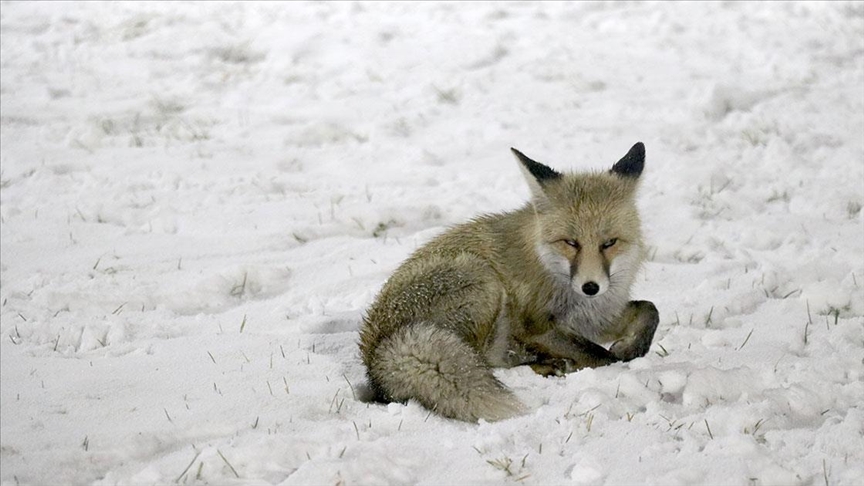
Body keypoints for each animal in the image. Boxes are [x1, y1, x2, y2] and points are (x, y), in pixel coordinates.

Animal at [362, 143, 660, 422]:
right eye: (570, 243)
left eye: (609, 243)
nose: (590, 287)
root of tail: (375, 355)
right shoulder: (536, 327)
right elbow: (602, 355)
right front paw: (610, 358)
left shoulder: (596, 317)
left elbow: (649, 309)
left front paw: (632, 346)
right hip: (485, 282)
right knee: (486, 360)